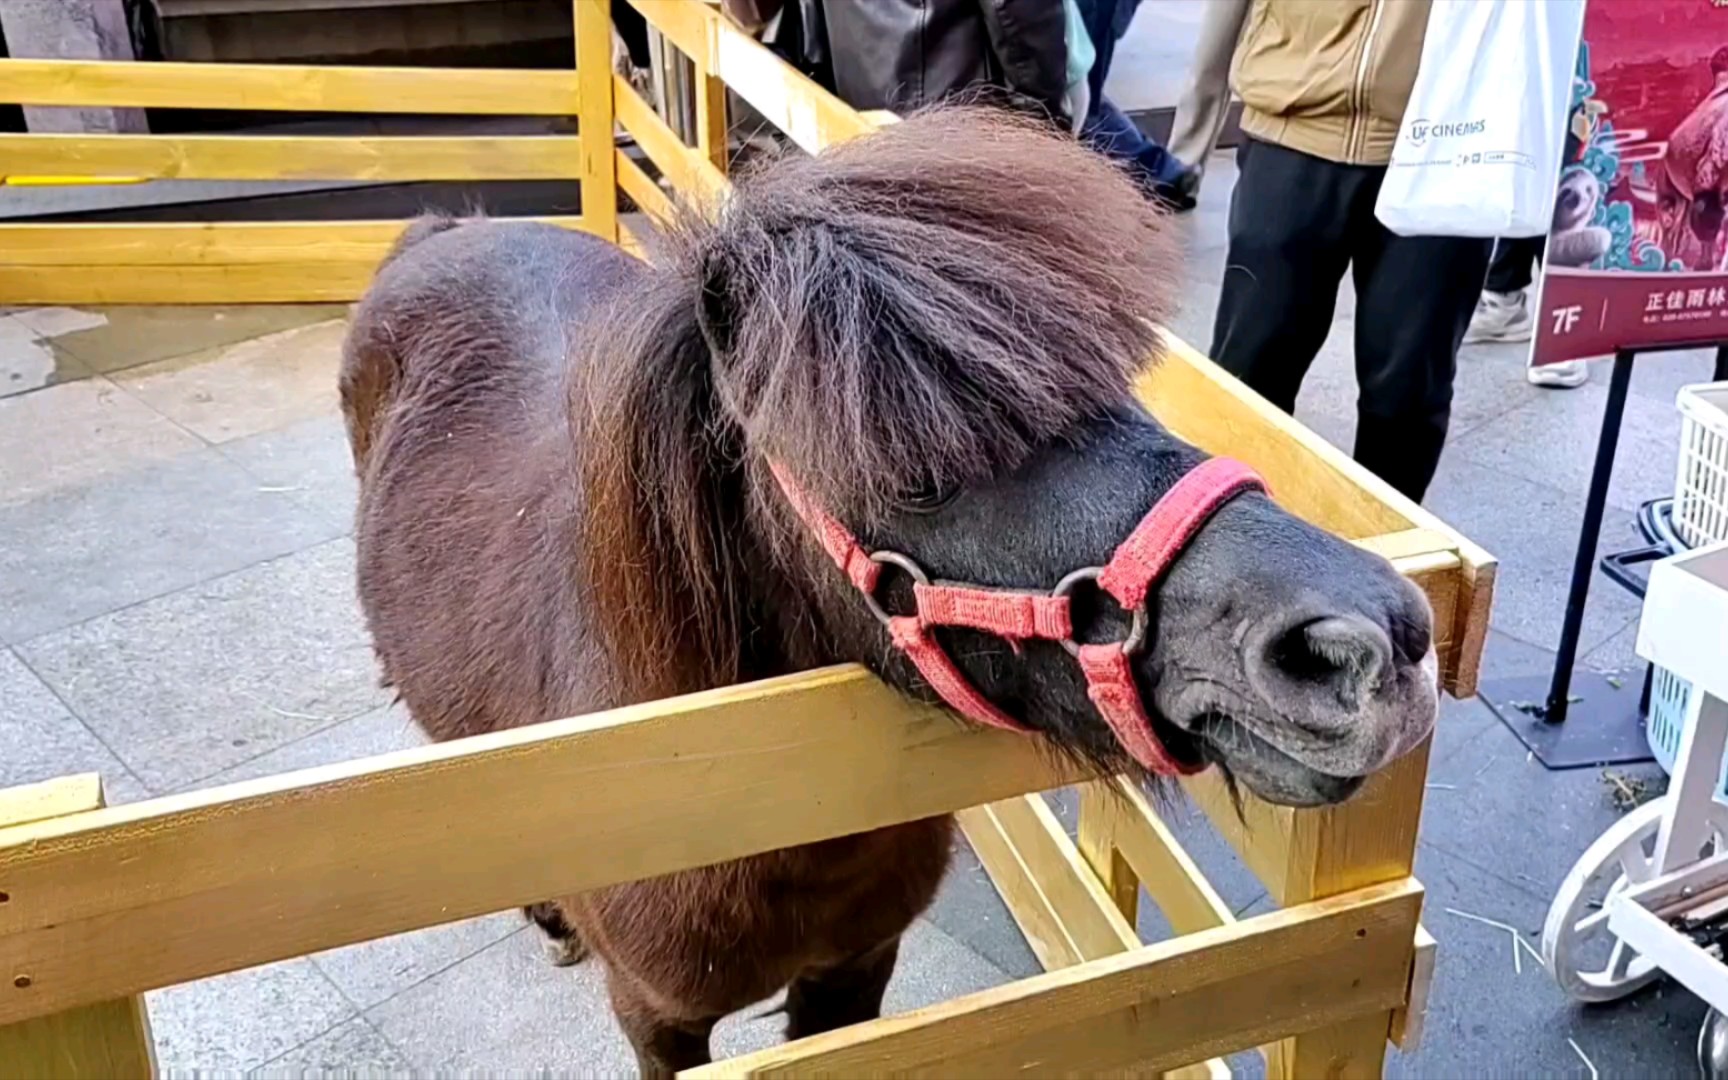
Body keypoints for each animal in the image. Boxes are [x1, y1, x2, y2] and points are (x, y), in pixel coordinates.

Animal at [339, 107, 1439, 1077]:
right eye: (912, 473)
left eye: (1112, 388)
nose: (1371, 641)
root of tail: (445, 231)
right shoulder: (657, 1017)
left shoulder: (855, 971)